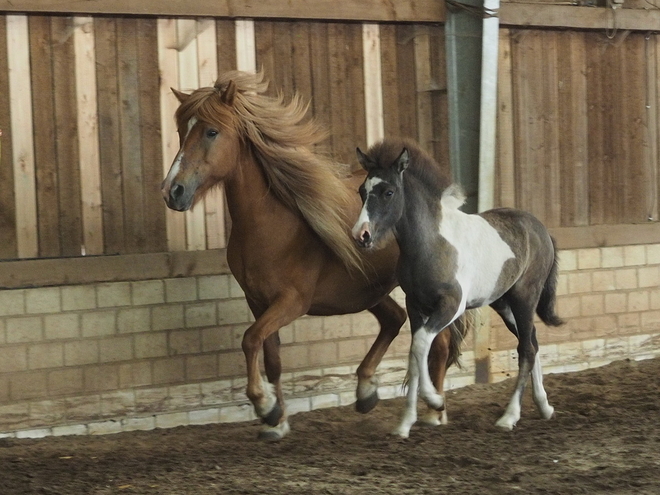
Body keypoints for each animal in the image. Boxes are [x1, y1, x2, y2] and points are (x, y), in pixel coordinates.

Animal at [160, 71, 470, 440]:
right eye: (182, 131)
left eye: (211, 131)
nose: (173, 191)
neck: (268, 226)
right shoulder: (258, 301)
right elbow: (271, 357)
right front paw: (277, 421)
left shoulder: (292, 301)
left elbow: (249, 340)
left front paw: (263, 405)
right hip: (365, 290)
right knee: (394, 320)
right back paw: (366, 391)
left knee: (439, 341)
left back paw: (435, 411)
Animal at [354, 140, 564, 438]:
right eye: (362, 191)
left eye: (389, 192)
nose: (361, 235)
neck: (430, 243)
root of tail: (540, 228)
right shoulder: (415, 306)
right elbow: (414, 355)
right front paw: (404, 424)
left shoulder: (452, 305)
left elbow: (421, 345)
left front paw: (435, 402)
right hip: (503, 303)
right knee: (532, 341)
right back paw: (544, 407)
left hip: (525, 298)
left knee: (526, 349)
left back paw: (509, 416)